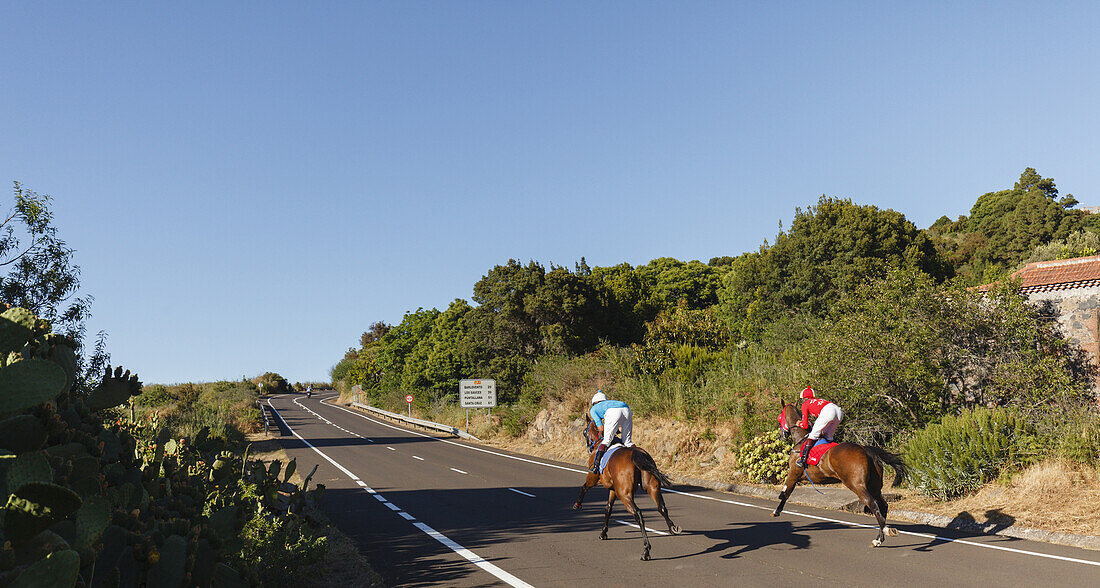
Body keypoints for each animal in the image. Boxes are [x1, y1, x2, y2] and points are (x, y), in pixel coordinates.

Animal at [576, 413, 677, 560]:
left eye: (584, 432)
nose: (589, 446)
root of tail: (637, 453)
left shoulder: (593, 478)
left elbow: (584, 487)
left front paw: (577, 504)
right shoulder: (613, 490)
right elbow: (608, 509)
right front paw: (603, 532)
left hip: (624, 495)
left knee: (638, 513)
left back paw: (646, 550)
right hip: (651, 487)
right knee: (661, 507)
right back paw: (672, 529)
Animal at [770, 400, 906, 547]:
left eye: (779, 417)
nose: (781, 436)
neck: (801, 439)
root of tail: (866, 450)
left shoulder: (793, 473)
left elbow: (785, 493)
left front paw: (776, 511)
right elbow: (786, 492)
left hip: (857, 485)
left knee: (873, 504)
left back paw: (887, 530)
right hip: (874, 486)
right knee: (883, 506)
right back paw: (878, 539)